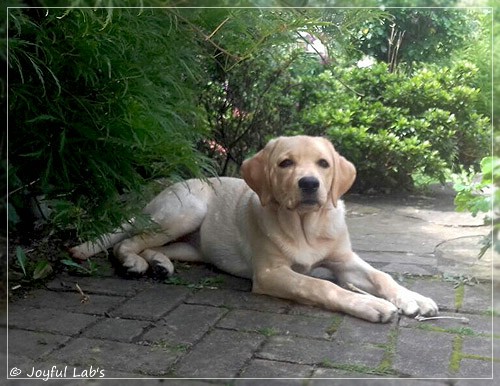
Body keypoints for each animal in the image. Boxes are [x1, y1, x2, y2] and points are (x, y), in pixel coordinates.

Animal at [70, 136, 438, 322]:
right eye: (285, 163)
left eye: (324, 164)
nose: (309, 184)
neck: (305, 226)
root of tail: (169, 187)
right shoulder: (271, 273)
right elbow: (319, 286)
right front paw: (371, 305)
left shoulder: (344, 260)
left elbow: (381, 276)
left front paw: (413, 298)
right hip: (186, 210)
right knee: (127, 240)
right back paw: (133, 263)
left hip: (193, 244)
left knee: (152, 244)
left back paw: (160, 264)